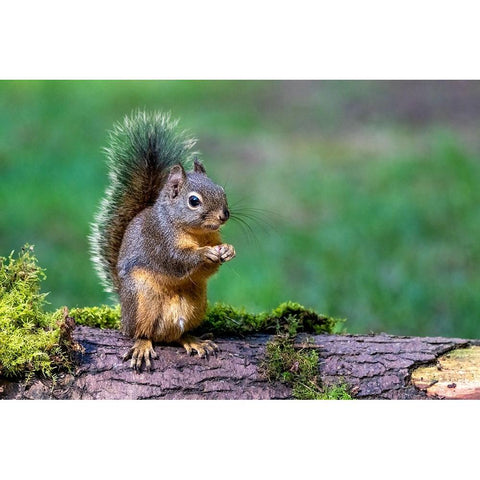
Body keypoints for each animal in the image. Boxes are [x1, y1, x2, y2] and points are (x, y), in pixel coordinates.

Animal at [89, 111, 236, 372]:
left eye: (222, 191)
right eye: (194, 201)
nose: (224, 215)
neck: (196, 233)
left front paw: (227, 250)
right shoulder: (159, 240)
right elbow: (176, 260)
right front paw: (204, 253)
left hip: (196, 305)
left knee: (177, 335)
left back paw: (193, 340)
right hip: (141, 301)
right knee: (141, 332)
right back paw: (142, 346)